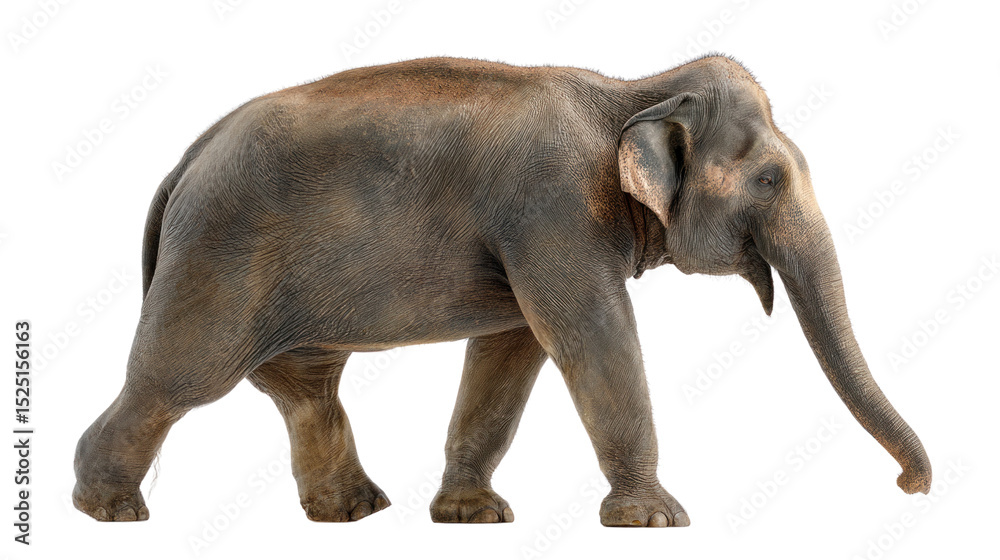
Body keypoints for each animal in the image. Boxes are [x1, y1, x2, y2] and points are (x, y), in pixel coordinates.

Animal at [73, 55, 931, 527]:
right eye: (770, 179)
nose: (911, 485)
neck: (633, 91)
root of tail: (184, 161)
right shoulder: (553, 210)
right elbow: (588, 335)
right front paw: (656, 520)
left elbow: (513, 351)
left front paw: (471, 517)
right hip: (220, 260)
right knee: (177, 379)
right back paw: (111, 511)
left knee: (307, 386)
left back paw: (353, 512)